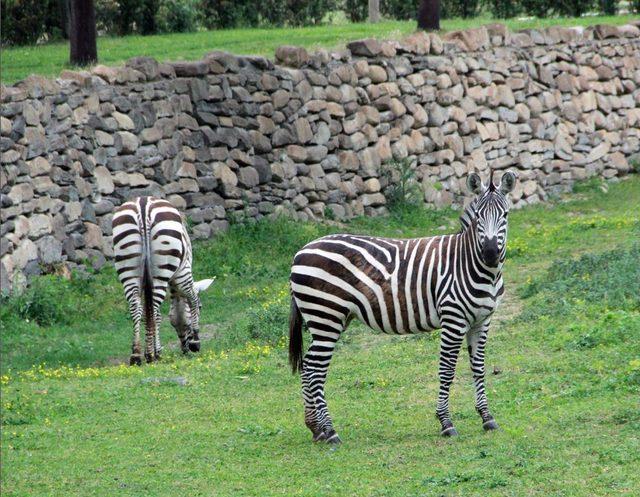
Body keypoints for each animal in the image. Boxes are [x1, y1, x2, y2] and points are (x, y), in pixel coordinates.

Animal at [112, 195, 215, 364]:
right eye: (202, 307)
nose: (185, 350)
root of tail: (143, 205)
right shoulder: (183, 271)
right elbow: (192, 298)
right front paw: (195, 341)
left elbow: (155, 315)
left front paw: (157, 349)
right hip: (163, 268)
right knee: (153, 308)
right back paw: (149, 354)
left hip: (128, 268)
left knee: (136, 308)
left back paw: (136, 355)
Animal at [288, 170, 516, 442]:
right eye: (480, 216)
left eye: (505, 215)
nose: (490, 253)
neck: (474, 266)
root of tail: (301, 251)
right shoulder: (453, 319)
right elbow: (447, 370)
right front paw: (446, 422)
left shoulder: (482, 321)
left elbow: (479, 368)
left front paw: (486, 417)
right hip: (326, 316)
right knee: (314, 369)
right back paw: (330, 430)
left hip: (328, 318)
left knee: (307, 366)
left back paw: (315, 428)